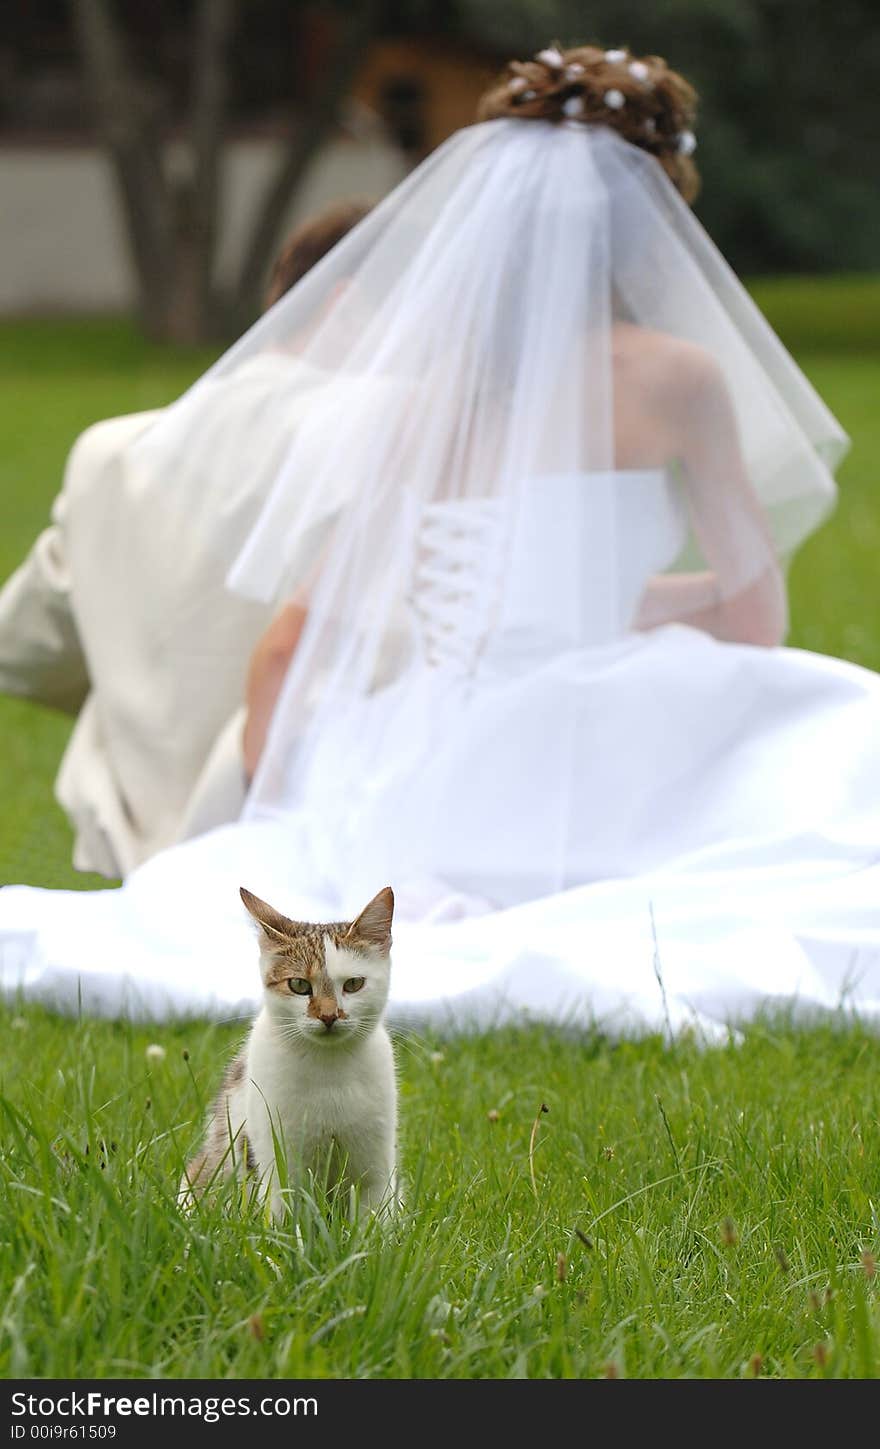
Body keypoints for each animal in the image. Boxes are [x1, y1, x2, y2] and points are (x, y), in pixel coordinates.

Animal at [178, 886, 397, 1217]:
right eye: (298, 985)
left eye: (354, 984)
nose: (329, 1016)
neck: (328, 1069)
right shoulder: (279, 1160)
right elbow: (286, 1212)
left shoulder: (375, 1171)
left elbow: (373, 1216)